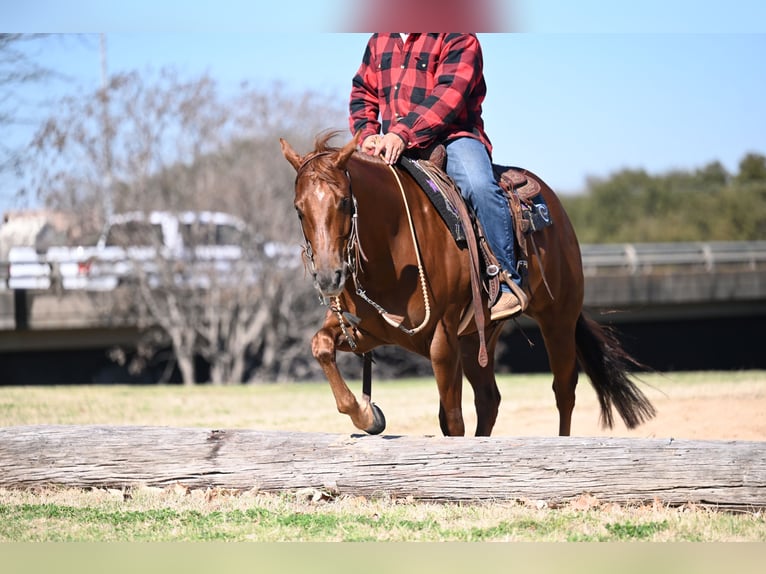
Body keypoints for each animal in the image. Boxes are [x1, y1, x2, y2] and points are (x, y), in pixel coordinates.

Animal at [280, 131, 655, 437]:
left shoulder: (442, 338)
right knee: (490, 400)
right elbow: (320, 346)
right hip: (477, 338)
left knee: (564, 391)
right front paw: (367, 416)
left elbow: (452, 420)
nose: (329, 276)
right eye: (299, 209)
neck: (393, 247)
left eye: (344, 202)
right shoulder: (367, 332)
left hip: (557, 320)